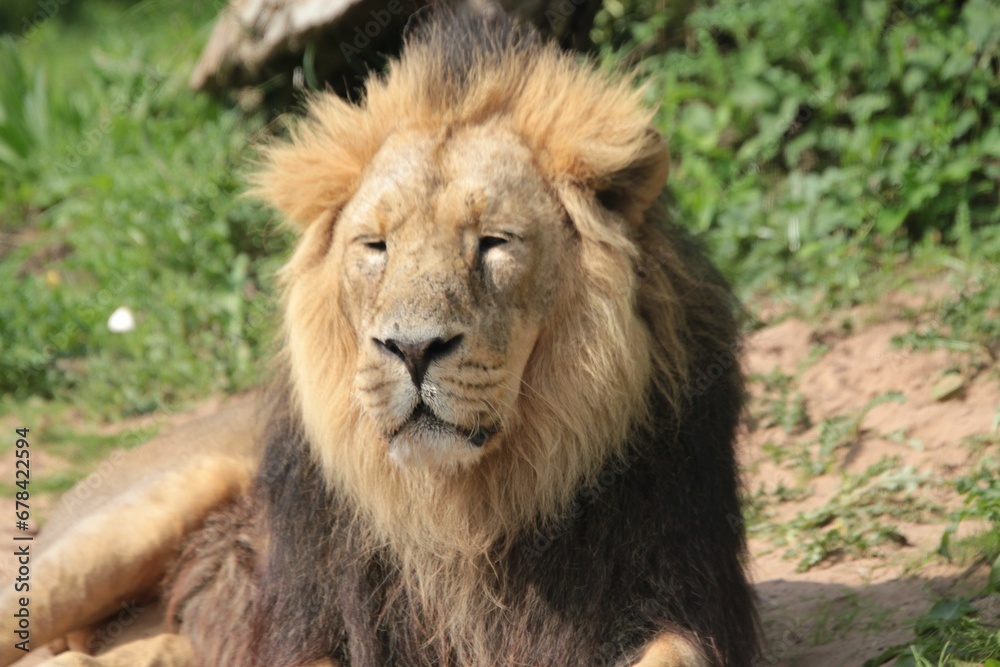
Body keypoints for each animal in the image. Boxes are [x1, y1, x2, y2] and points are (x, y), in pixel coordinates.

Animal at [0, 9, 756, 667]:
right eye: (376, 246)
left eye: (493, 243)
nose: (413, 350)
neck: (466, 514)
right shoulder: (313, 623)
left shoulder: (675, 595)